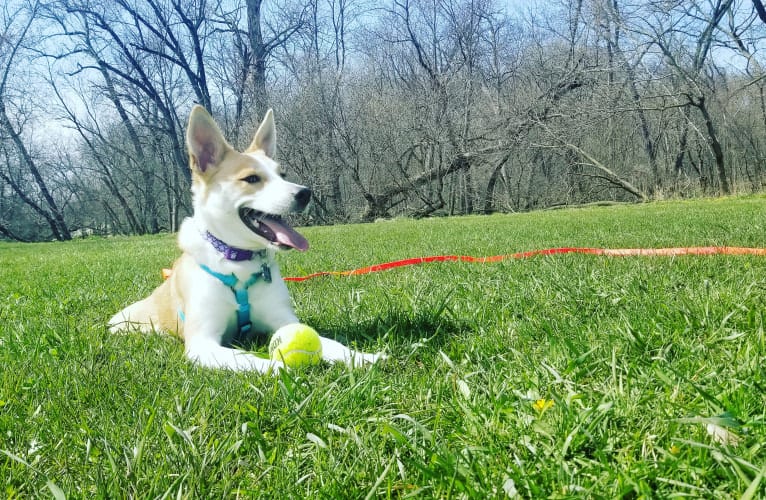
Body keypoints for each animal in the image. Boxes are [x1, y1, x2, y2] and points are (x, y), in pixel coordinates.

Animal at [108, 104, 384, 372]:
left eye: (283, 175)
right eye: (251, 178)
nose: (305, 193)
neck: (238, 261)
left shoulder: (283, 319)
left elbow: (329, 342)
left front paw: (361, 357)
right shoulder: (202, 344)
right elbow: (245, 358)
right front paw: (279, 367)